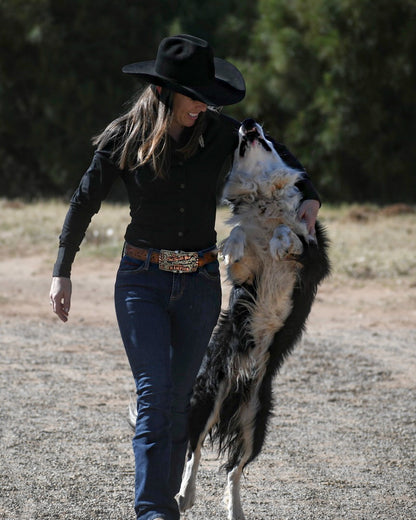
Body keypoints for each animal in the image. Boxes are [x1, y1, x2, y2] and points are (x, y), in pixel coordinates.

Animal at [177, 119, 330, 520]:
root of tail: (238, 385)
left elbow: (291, 233)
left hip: (256, 419)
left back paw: (236, 510)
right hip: (209, 393)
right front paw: (231, 246)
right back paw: (184, 495)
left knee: (234, 469)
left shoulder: (314, 258)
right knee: (194, 450)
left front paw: (278, 241)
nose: (248, 123)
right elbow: (239, 235)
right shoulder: (247, 276)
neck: (263, 198)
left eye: (271, 137)